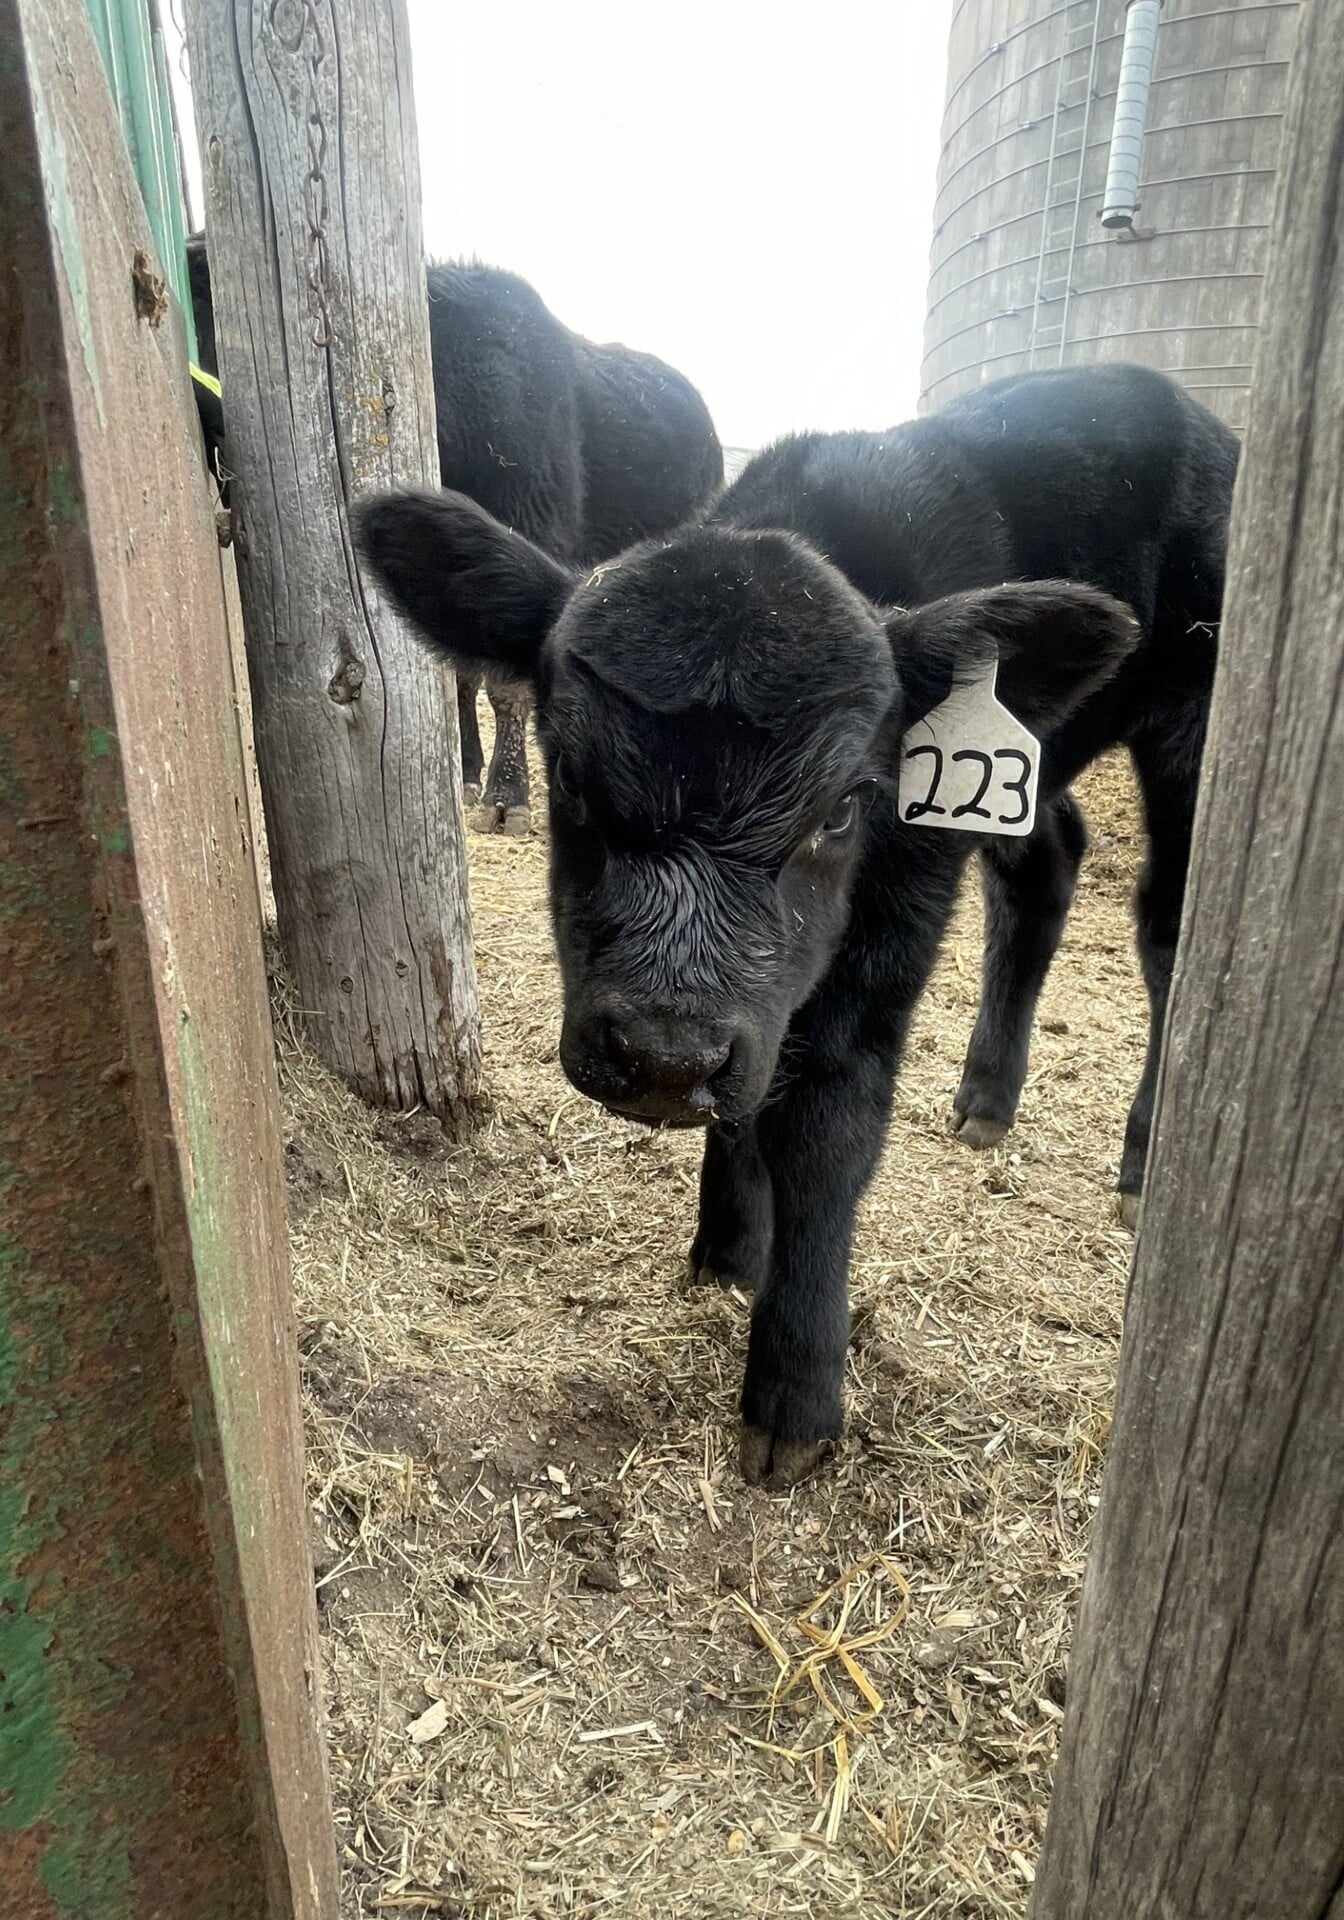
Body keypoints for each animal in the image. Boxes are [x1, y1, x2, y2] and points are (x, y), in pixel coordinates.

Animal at [355, 363, 1236, 1489]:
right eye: (571, 780)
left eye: (840, 809)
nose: (662, 1058)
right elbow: (758, 1080)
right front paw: (730, 1249)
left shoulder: (898, 914)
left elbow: (826, 1122)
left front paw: (795, 1394)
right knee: (1045, 867)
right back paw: (985, 1101)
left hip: (1193, 723)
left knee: (1170, 923)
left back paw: (1140, 1154)